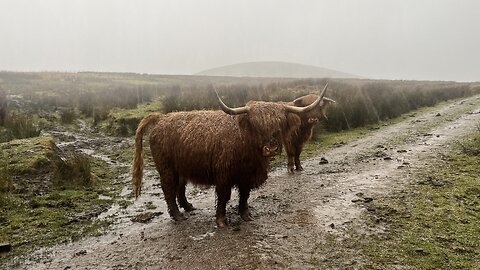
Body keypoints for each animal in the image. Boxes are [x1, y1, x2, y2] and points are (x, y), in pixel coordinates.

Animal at [133, 89, 324, 227]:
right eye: (256, 124)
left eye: (279, 123)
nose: (271, 148)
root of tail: (161, 118)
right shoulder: (223, 175)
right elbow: (224, 196)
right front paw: (221, 221)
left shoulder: (247, 175)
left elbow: (245, 196)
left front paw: (246, 215)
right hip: (166, 167)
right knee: (168, 189)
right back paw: (178, 216)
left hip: (182, 166)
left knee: (180, 187)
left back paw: (188, 207)